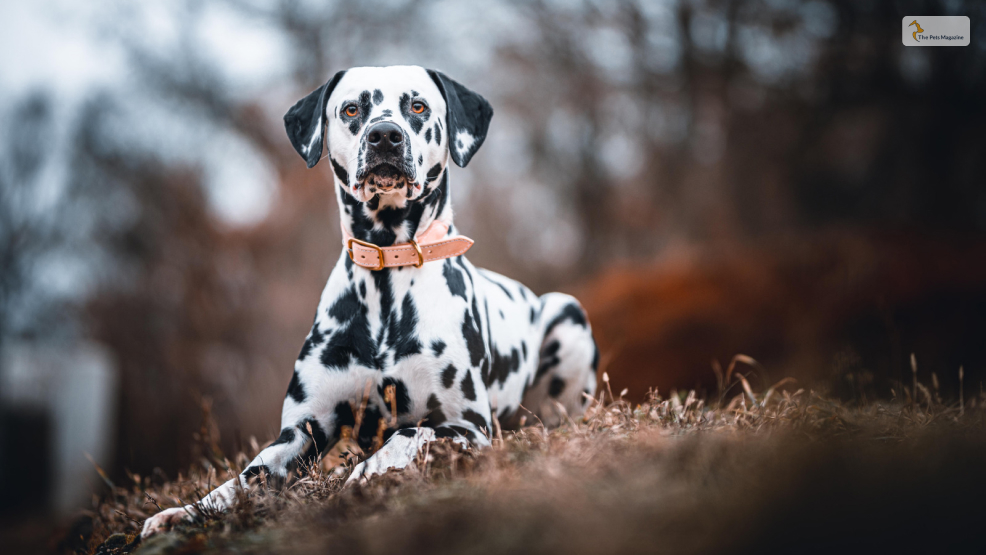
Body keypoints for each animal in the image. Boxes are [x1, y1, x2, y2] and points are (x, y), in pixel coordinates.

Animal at [141, 65, 596, 540]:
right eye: (351, 109)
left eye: (418, 106)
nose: (384, 135)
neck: (386, 277)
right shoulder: (301, 430)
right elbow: (245, 478)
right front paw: (185, 512)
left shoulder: (467, 426)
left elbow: (407, 435)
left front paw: (364, 475)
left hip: (567, 314)